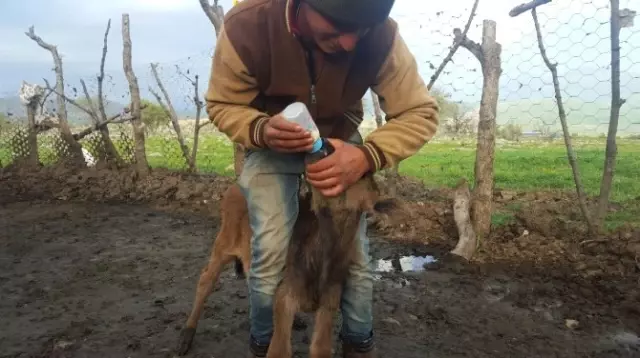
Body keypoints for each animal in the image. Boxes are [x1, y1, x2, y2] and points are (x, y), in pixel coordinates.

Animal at [175, 155, 396, 356]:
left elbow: (320, 349)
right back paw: (186, 335)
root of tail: (235, 186)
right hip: (224, 243)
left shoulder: (330, 299)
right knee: (206, 279)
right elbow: (279, 350)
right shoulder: (285, 296)